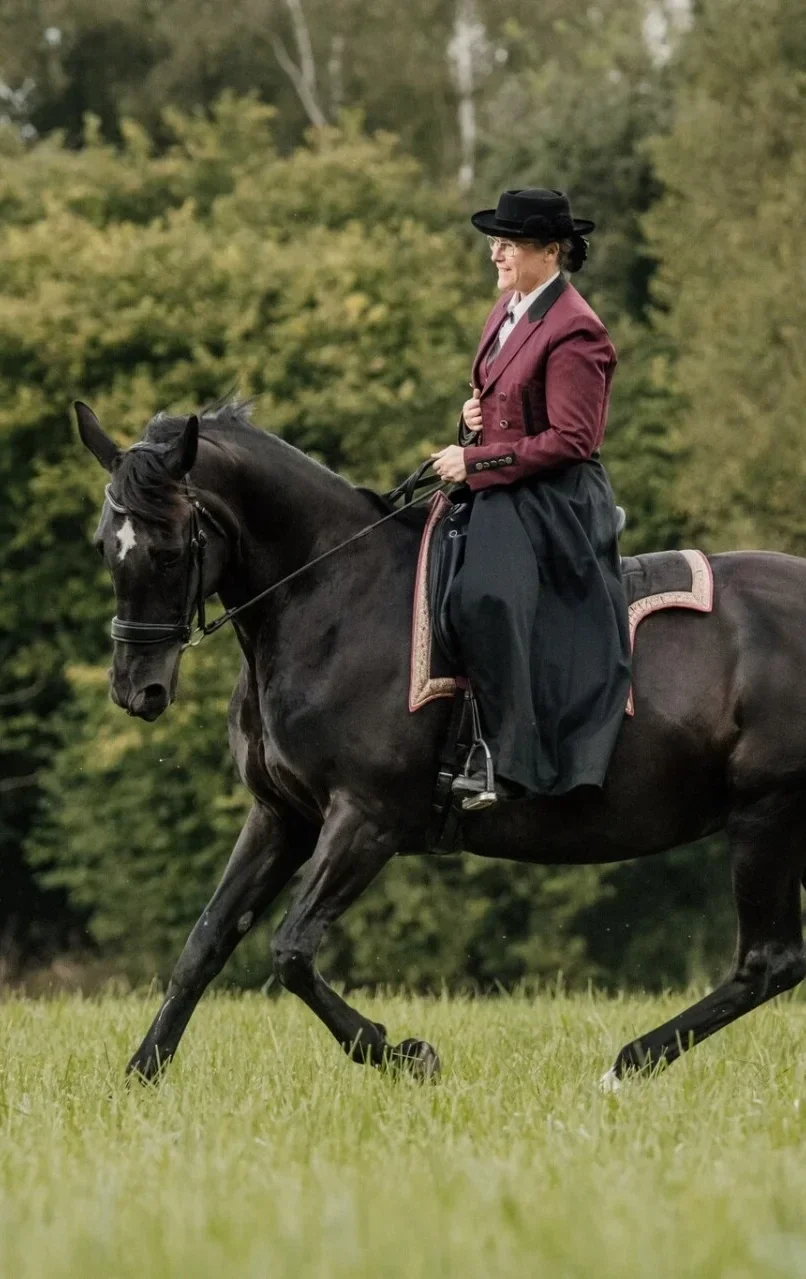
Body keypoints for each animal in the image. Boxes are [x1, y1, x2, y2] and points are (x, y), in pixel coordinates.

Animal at [76, 398, 806, 1088]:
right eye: (106, 546)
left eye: (170, 551)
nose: (136, 689)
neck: (332, 600)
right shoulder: (282, 815)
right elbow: (207, 941)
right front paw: (141, 1072)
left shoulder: (366, 819)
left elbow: (292, 950)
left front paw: (403, 1053)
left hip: (765, 816)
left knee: (766, 961)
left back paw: (625, 1065)